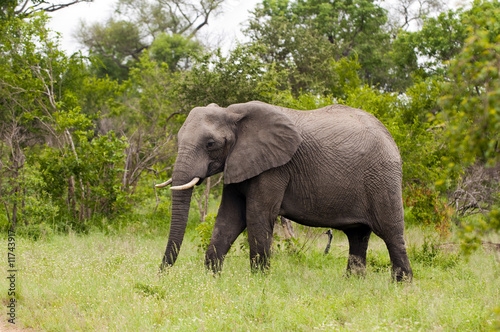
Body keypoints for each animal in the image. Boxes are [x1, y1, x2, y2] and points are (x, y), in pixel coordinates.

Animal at [157, 100, 414, 280]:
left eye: (210, 144)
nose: (161, 275)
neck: (232, 113)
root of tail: (390, 135)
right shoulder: (240, 162)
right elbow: (229, 218)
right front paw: (212, 278)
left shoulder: (275, 168)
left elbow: (257, 215)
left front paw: (259, 281)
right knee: (357, 234)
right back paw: (353, 283)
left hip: (382, 177)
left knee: (391, 232)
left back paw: (402, 286)